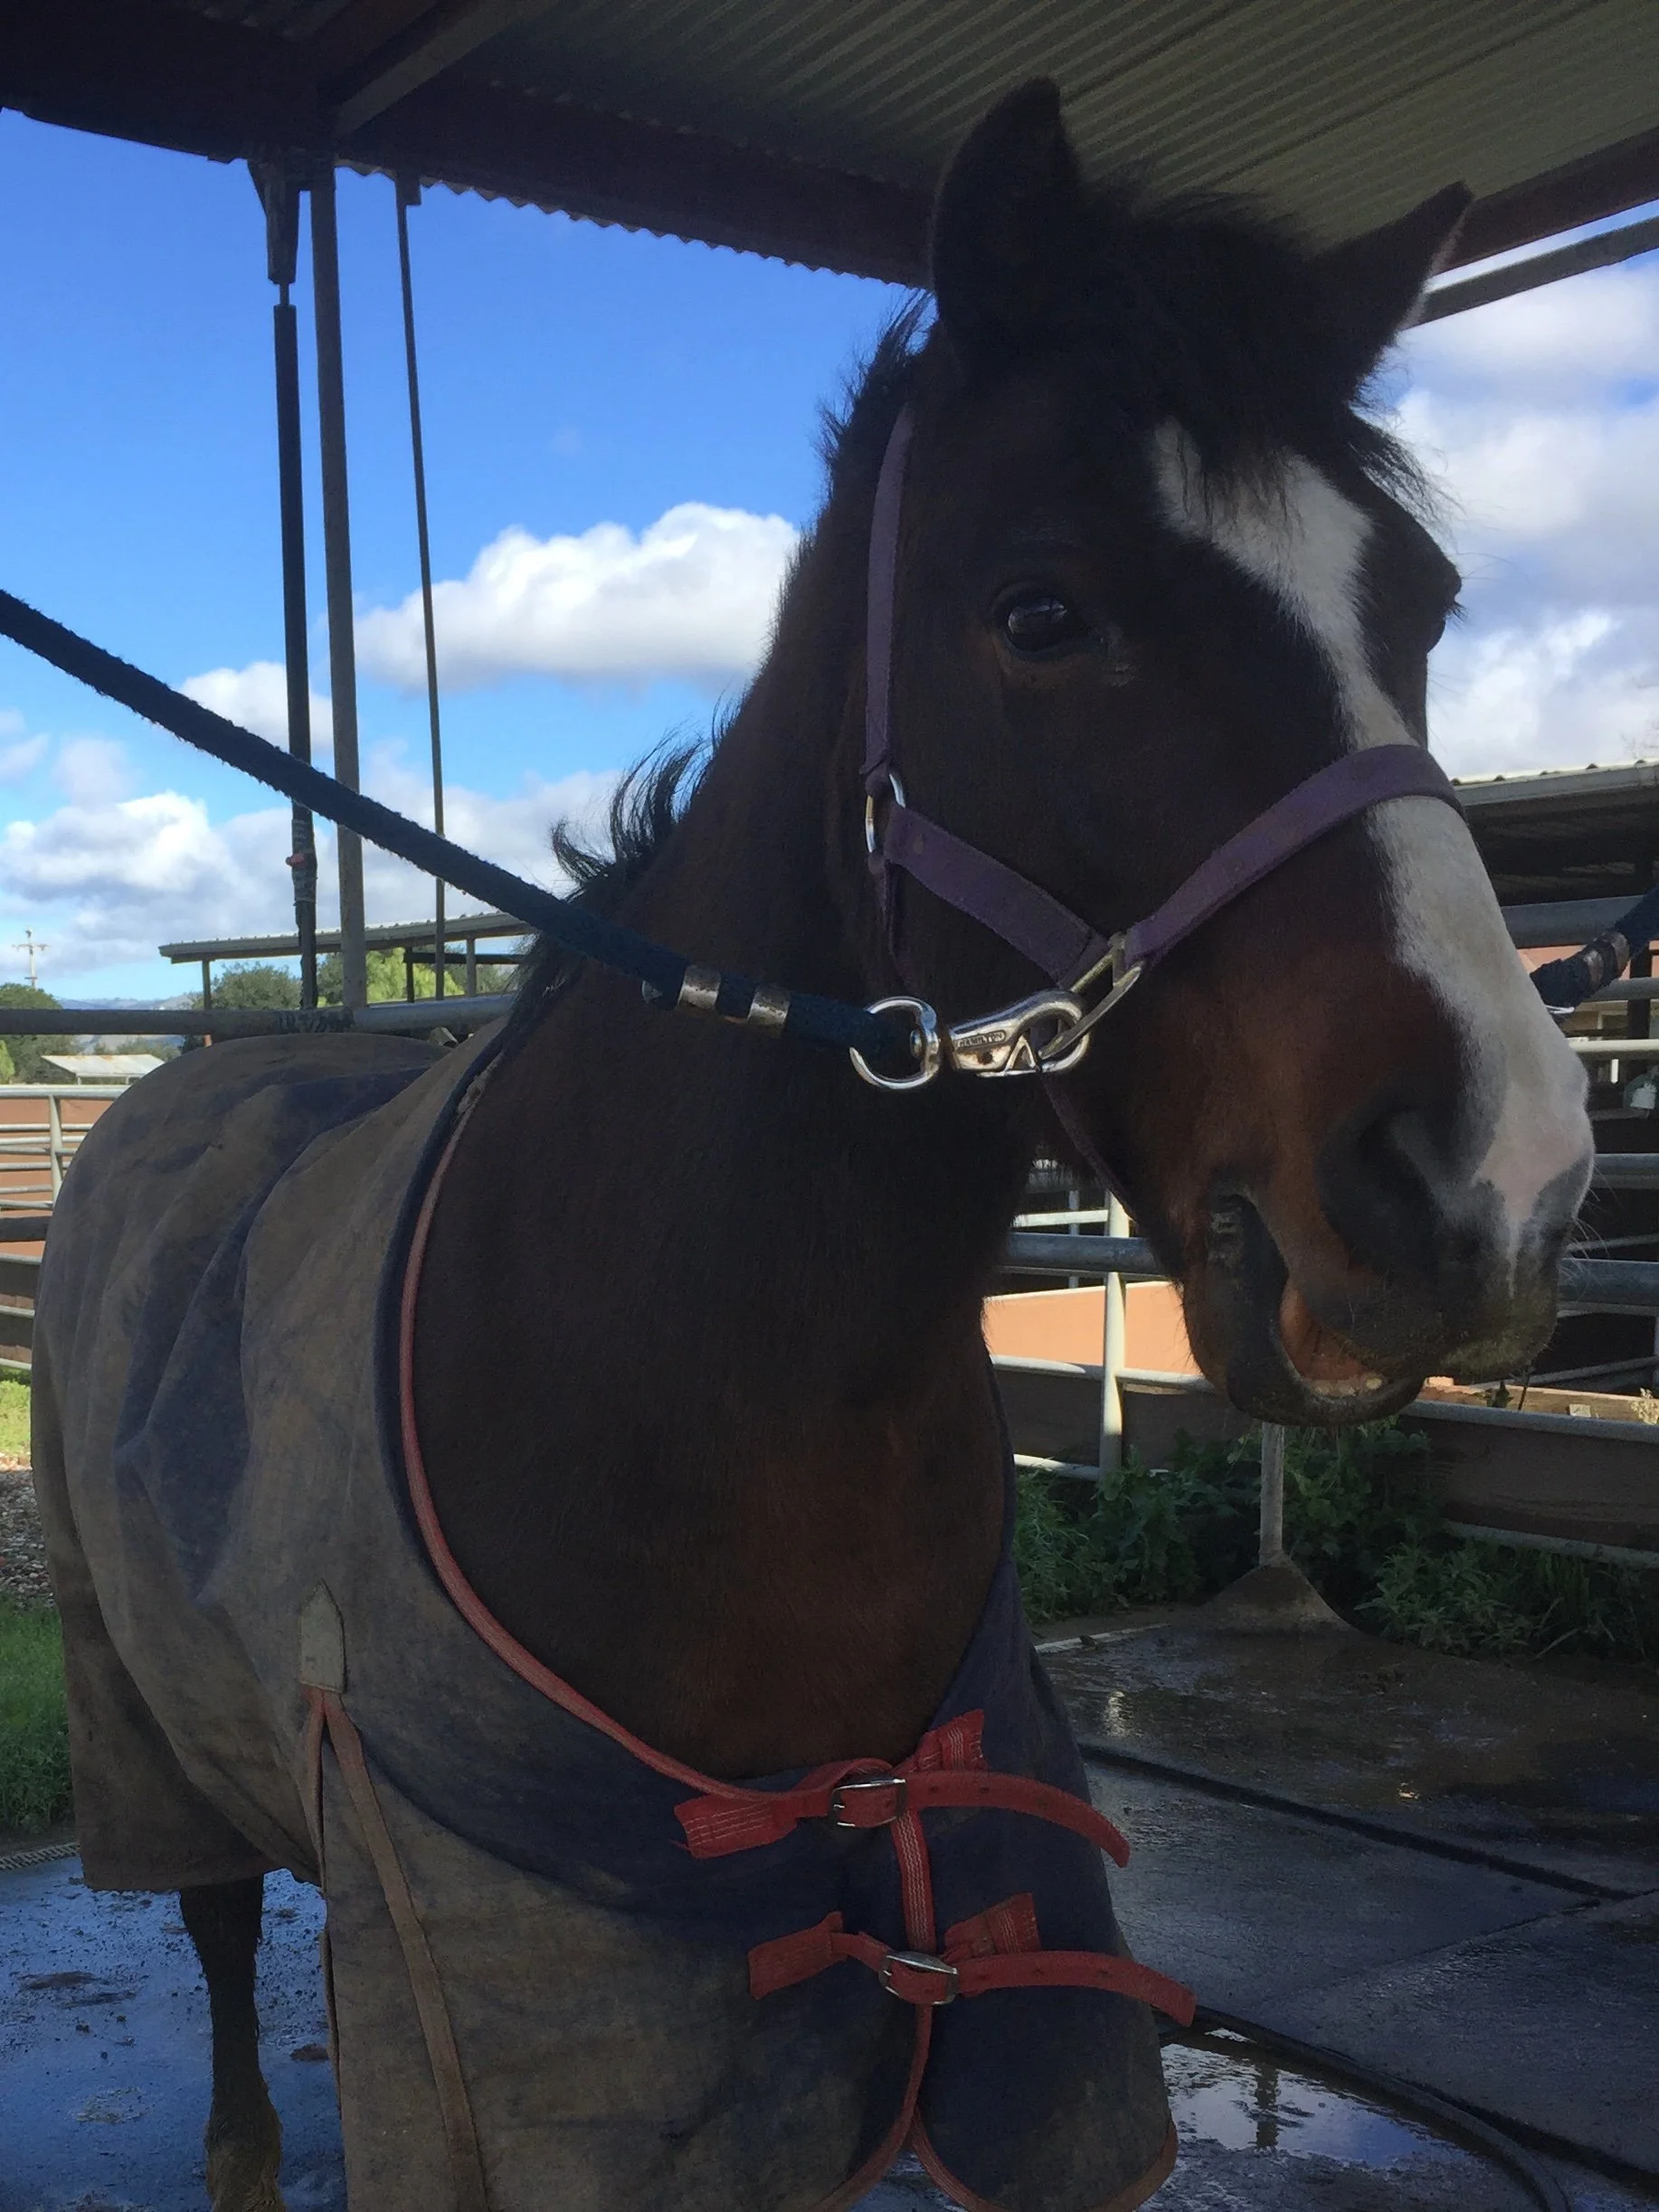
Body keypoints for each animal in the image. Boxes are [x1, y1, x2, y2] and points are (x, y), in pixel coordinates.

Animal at [32, 79, 1591, 2212]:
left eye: (1418, 604)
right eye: (1038, 610)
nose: (1487, 1180)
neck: (700, 1396)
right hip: (152, 1722)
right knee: (204, 1932)